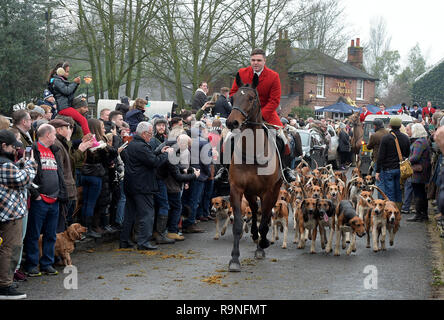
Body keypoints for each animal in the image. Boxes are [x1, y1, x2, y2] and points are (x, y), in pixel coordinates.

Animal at [224, 73, 282, 272]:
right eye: (232, 98)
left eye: (250, 98)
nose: (231, 122)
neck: (252, 151)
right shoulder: (237, 189)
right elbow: (238, 224)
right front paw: (234, 259)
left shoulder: (268, 191)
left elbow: (265, 219)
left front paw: (263, 244)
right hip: (250, 193)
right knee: (255, 211)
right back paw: (256, 237)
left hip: (273, 191)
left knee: (264, 214)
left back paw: (261, 243)